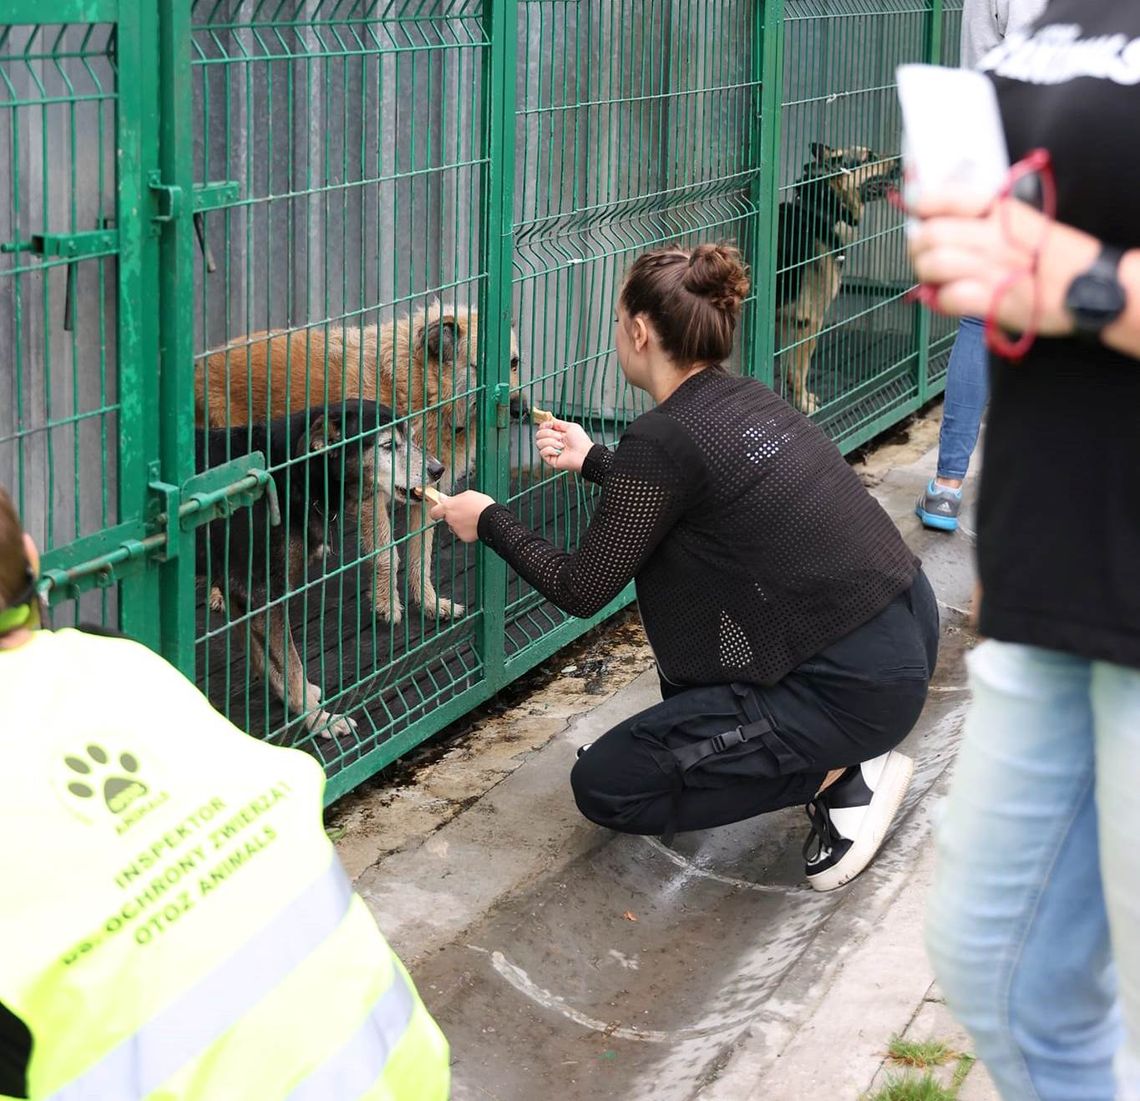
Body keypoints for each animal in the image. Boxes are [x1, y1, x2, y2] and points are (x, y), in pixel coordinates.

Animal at [196, 401, 444, 738]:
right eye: (388, 445)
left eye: (411, 435)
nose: (438, 469)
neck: (297, 474)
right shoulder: (263, 593)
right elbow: (291, 664)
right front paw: (318, 719)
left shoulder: (241, 591)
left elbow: (265, 658)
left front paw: (291, 700)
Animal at [775, 147, 898, 414]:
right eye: (869, 158)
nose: (901, 163)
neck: (819, 213)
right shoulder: (809, 320)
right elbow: (800, 368)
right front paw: (803, 404)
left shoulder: (786, 320)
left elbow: (788, 367)